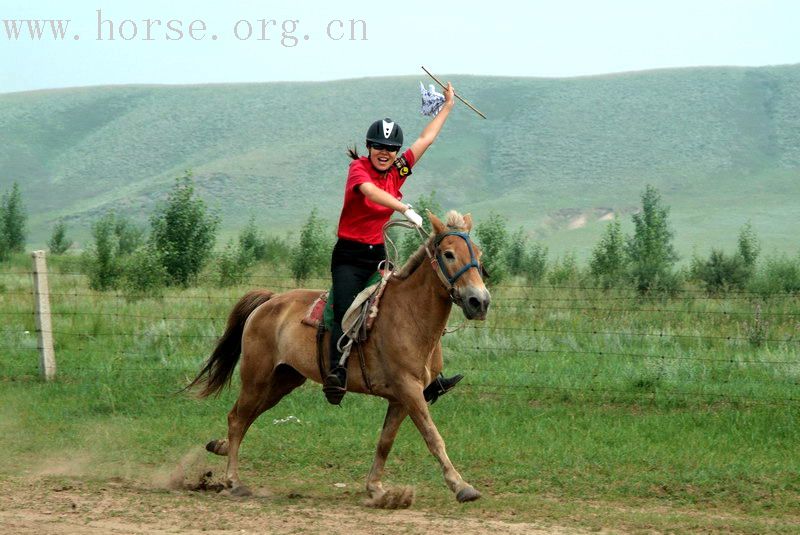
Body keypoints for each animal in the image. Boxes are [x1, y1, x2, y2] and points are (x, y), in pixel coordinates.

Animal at [188, 209, 490, 506]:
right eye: (449, 254)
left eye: (478, 253)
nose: (480, 301)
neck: (410, 314)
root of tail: (269, 301)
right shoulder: (409, 389)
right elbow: (432, 436)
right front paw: (462, 486)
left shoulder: (401, 398)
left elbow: (385, 442)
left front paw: (376, 489)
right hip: (256, 378)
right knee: (237, 419)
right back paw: (233, 481)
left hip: (283, 380)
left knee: (245, 417)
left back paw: (220, 448)